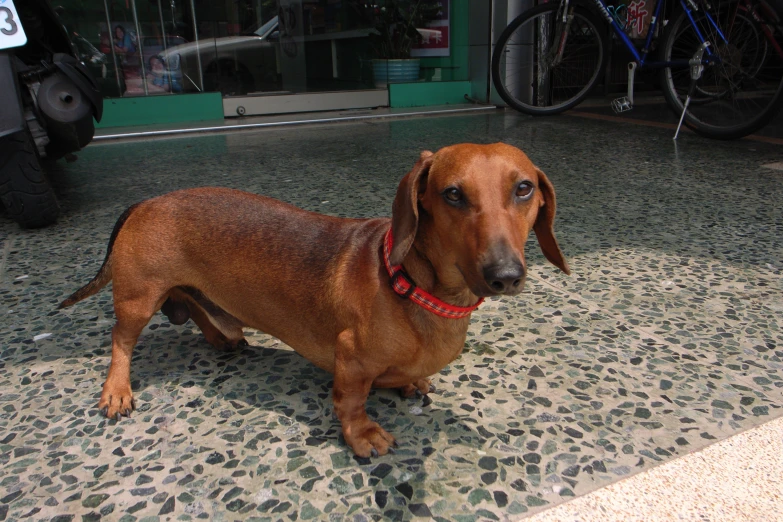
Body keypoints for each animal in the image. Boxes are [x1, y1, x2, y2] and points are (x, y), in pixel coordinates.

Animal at [58, 142, 568, 456]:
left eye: (524, 188)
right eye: (453, 194)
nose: (505, 276)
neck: (414, 289)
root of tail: (146, 202)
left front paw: (410, 384)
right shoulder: (351, 358)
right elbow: (351, 402)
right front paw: (363, 435)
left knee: (203, 313)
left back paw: (224, 339)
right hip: (138, 299)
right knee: (121, 341)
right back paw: (117, 390)